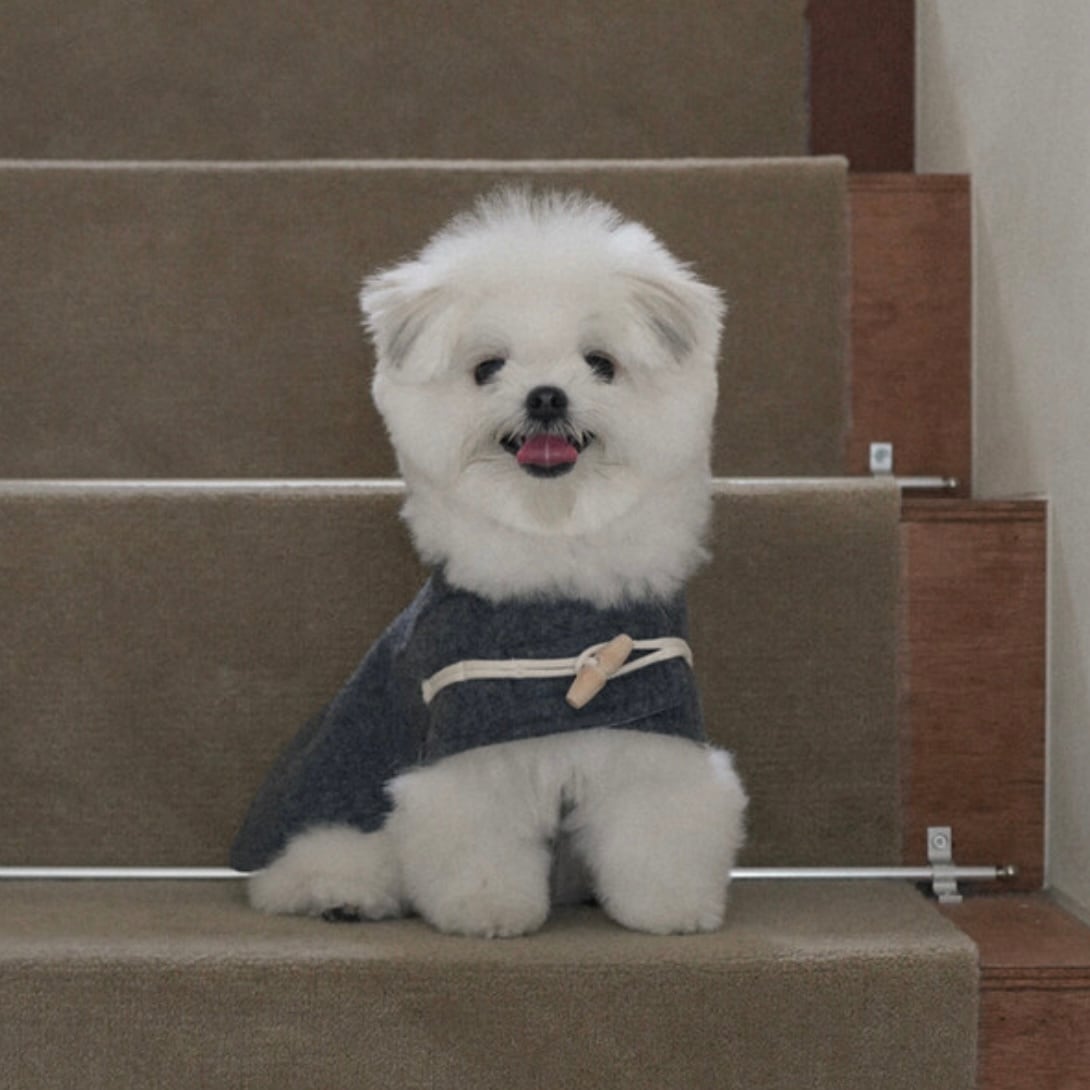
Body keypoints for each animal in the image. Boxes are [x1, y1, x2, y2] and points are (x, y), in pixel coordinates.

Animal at [231, 190, 747, 937]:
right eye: (488, 368)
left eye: (600, 363)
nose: (546, 395)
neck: (554, 547)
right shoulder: (467, 745)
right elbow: (477, 834)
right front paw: (488, 910)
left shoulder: (649, 725)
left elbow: (656, 822)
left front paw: (670, 907)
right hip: (338, 812)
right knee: (318, 857)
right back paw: (340, 892)